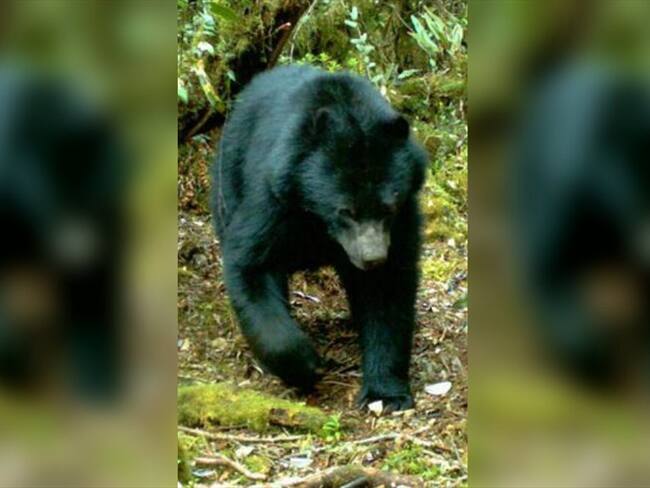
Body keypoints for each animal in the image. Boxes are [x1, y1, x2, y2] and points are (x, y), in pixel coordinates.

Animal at [211, 65, 427, 411]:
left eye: (388, 207)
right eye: (346, 211)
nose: (373, 258)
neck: (317, 220)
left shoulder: (403, 217)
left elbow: (387, 289)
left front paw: (385, 396)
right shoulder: (274, 195)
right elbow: (251, 262)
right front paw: (307, 364)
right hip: (229, 182)